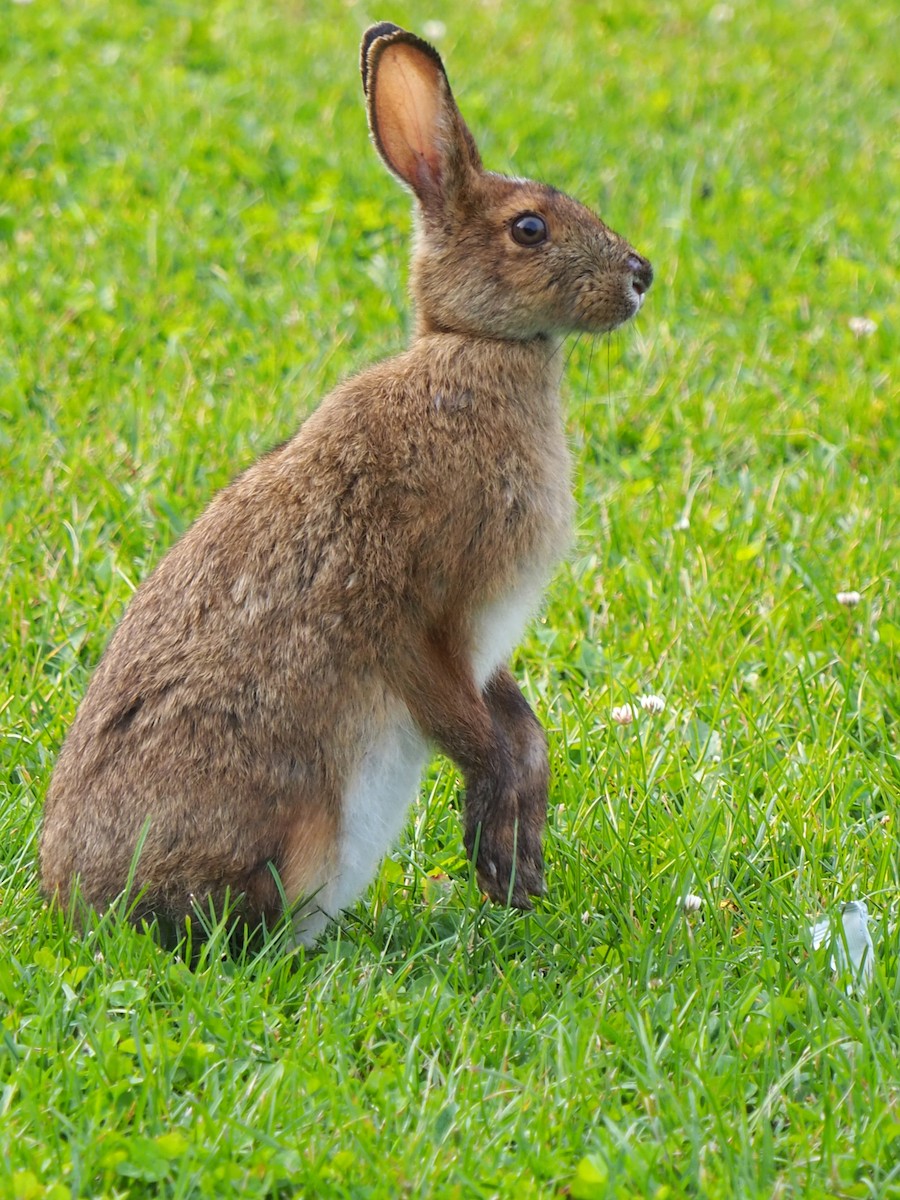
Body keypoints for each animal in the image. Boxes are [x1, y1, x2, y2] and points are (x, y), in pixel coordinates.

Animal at [40, 22, 653, 946]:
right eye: (529, 228)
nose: (640, 276)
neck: (474, 348)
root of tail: (74, 908)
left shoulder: (483, 642)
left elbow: (516, 722)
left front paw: (520, 850)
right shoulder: (418, 609)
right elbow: (468, 726)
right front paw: (498, 841)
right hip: (294, 825)